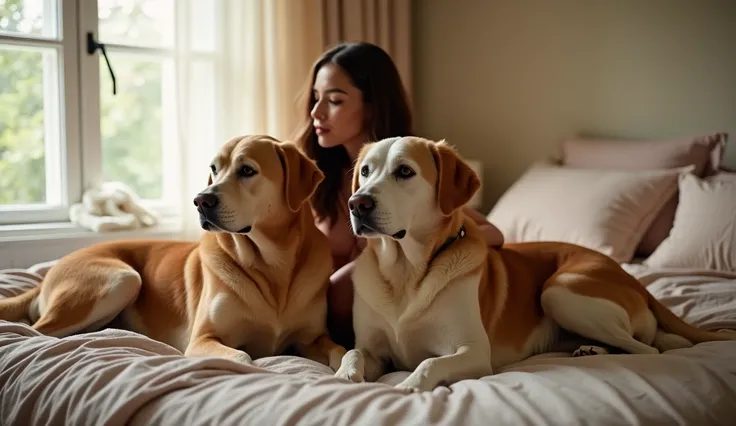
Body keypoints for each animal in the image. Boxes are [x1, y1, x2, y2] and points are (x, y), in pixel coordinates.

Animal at [0, 136, 346, 370]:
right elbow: (244, 357)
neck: (273, 263)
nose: (201, 200)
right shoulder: (203, 339)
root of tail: (47, 276)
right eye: (214, 169)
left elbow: (342, 351)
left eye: (247, 170)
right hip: (121, 279)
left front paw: (348, 373)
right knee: (34, 331)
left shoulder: (311, 339)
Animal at [334, 136, 736, 392]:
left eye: (404, 172)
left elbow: (429, 362)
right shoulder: (373, 348)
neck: (405, 271)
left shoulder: (474, 351)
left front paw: (409, 384)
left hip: (559, 291)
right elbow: (354, 350)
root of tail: (631, 278)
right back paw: (591, 349)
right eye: (366, 171)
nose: (357, 203)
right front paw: (343, 375)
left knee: (650, 348)